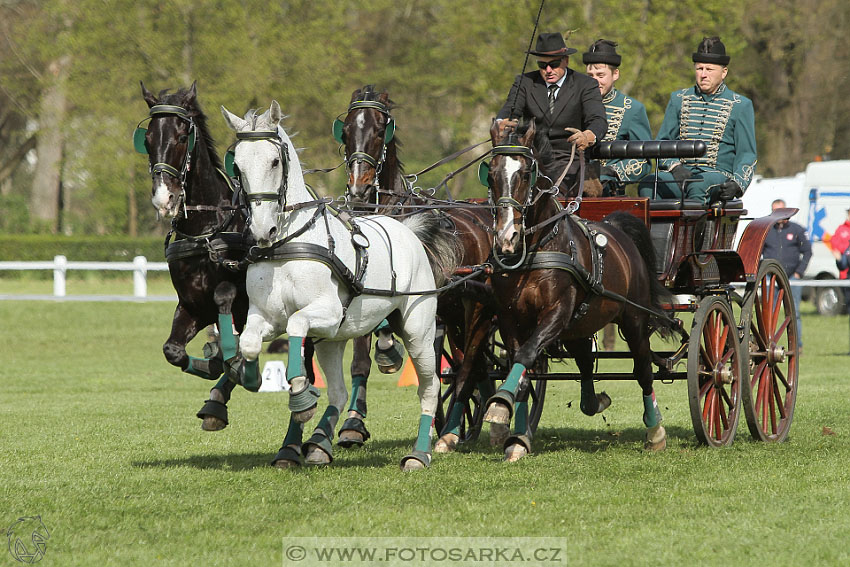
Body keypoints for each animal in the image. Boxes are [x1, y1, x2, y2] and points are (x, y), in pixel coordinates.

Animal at [136, 83, 248, 430]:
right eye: (147, 139)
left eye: (183, 136)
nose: (164, 198)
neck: (206, 229)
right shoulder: (192, 305)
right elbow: (172, 350)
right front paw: (212, 363)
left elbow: (225, 297)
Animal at [220, 101, 458, 470]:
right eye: (238, 164)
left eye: (274, 161)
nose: (262, 231)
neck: (288, 244)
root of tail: (408, 228)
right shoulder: (267, 318)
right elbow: (247, 342)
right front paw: (250, 377)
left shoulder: (326, 311)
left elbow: (297, 323)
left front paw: (301, 396)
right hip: (333, 340)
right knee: (340, 391)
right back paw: (320, 445)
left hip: (418, 331)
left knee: (429, 389)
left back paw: (419, 453)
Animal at [332, 85, 504, 452]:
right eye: (347, 130)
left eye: (380, 131)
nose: (358, 189)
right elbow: (359, 363)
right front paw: (352, 424)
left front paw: (388, 352)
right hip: (454, 313)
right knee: (470, 362)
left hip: (475, 309)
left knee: (470, 361)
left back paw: (454, 429)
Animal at [476, 120, 668, 462]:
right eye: (492, 173)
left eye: (526, 173)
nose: (506, 238)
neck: (536, 249)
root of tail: (616, 228)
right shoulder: (511, 319)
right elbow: (522, 372)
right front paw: (515, 434)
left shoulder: (556, 312)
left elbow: (526, 355)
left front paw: (499, 405)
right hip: (580, 326)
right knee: (586, 367)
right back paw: (595, 402)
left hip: (633, 319)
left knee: (643, 369)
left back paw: (655, 430)